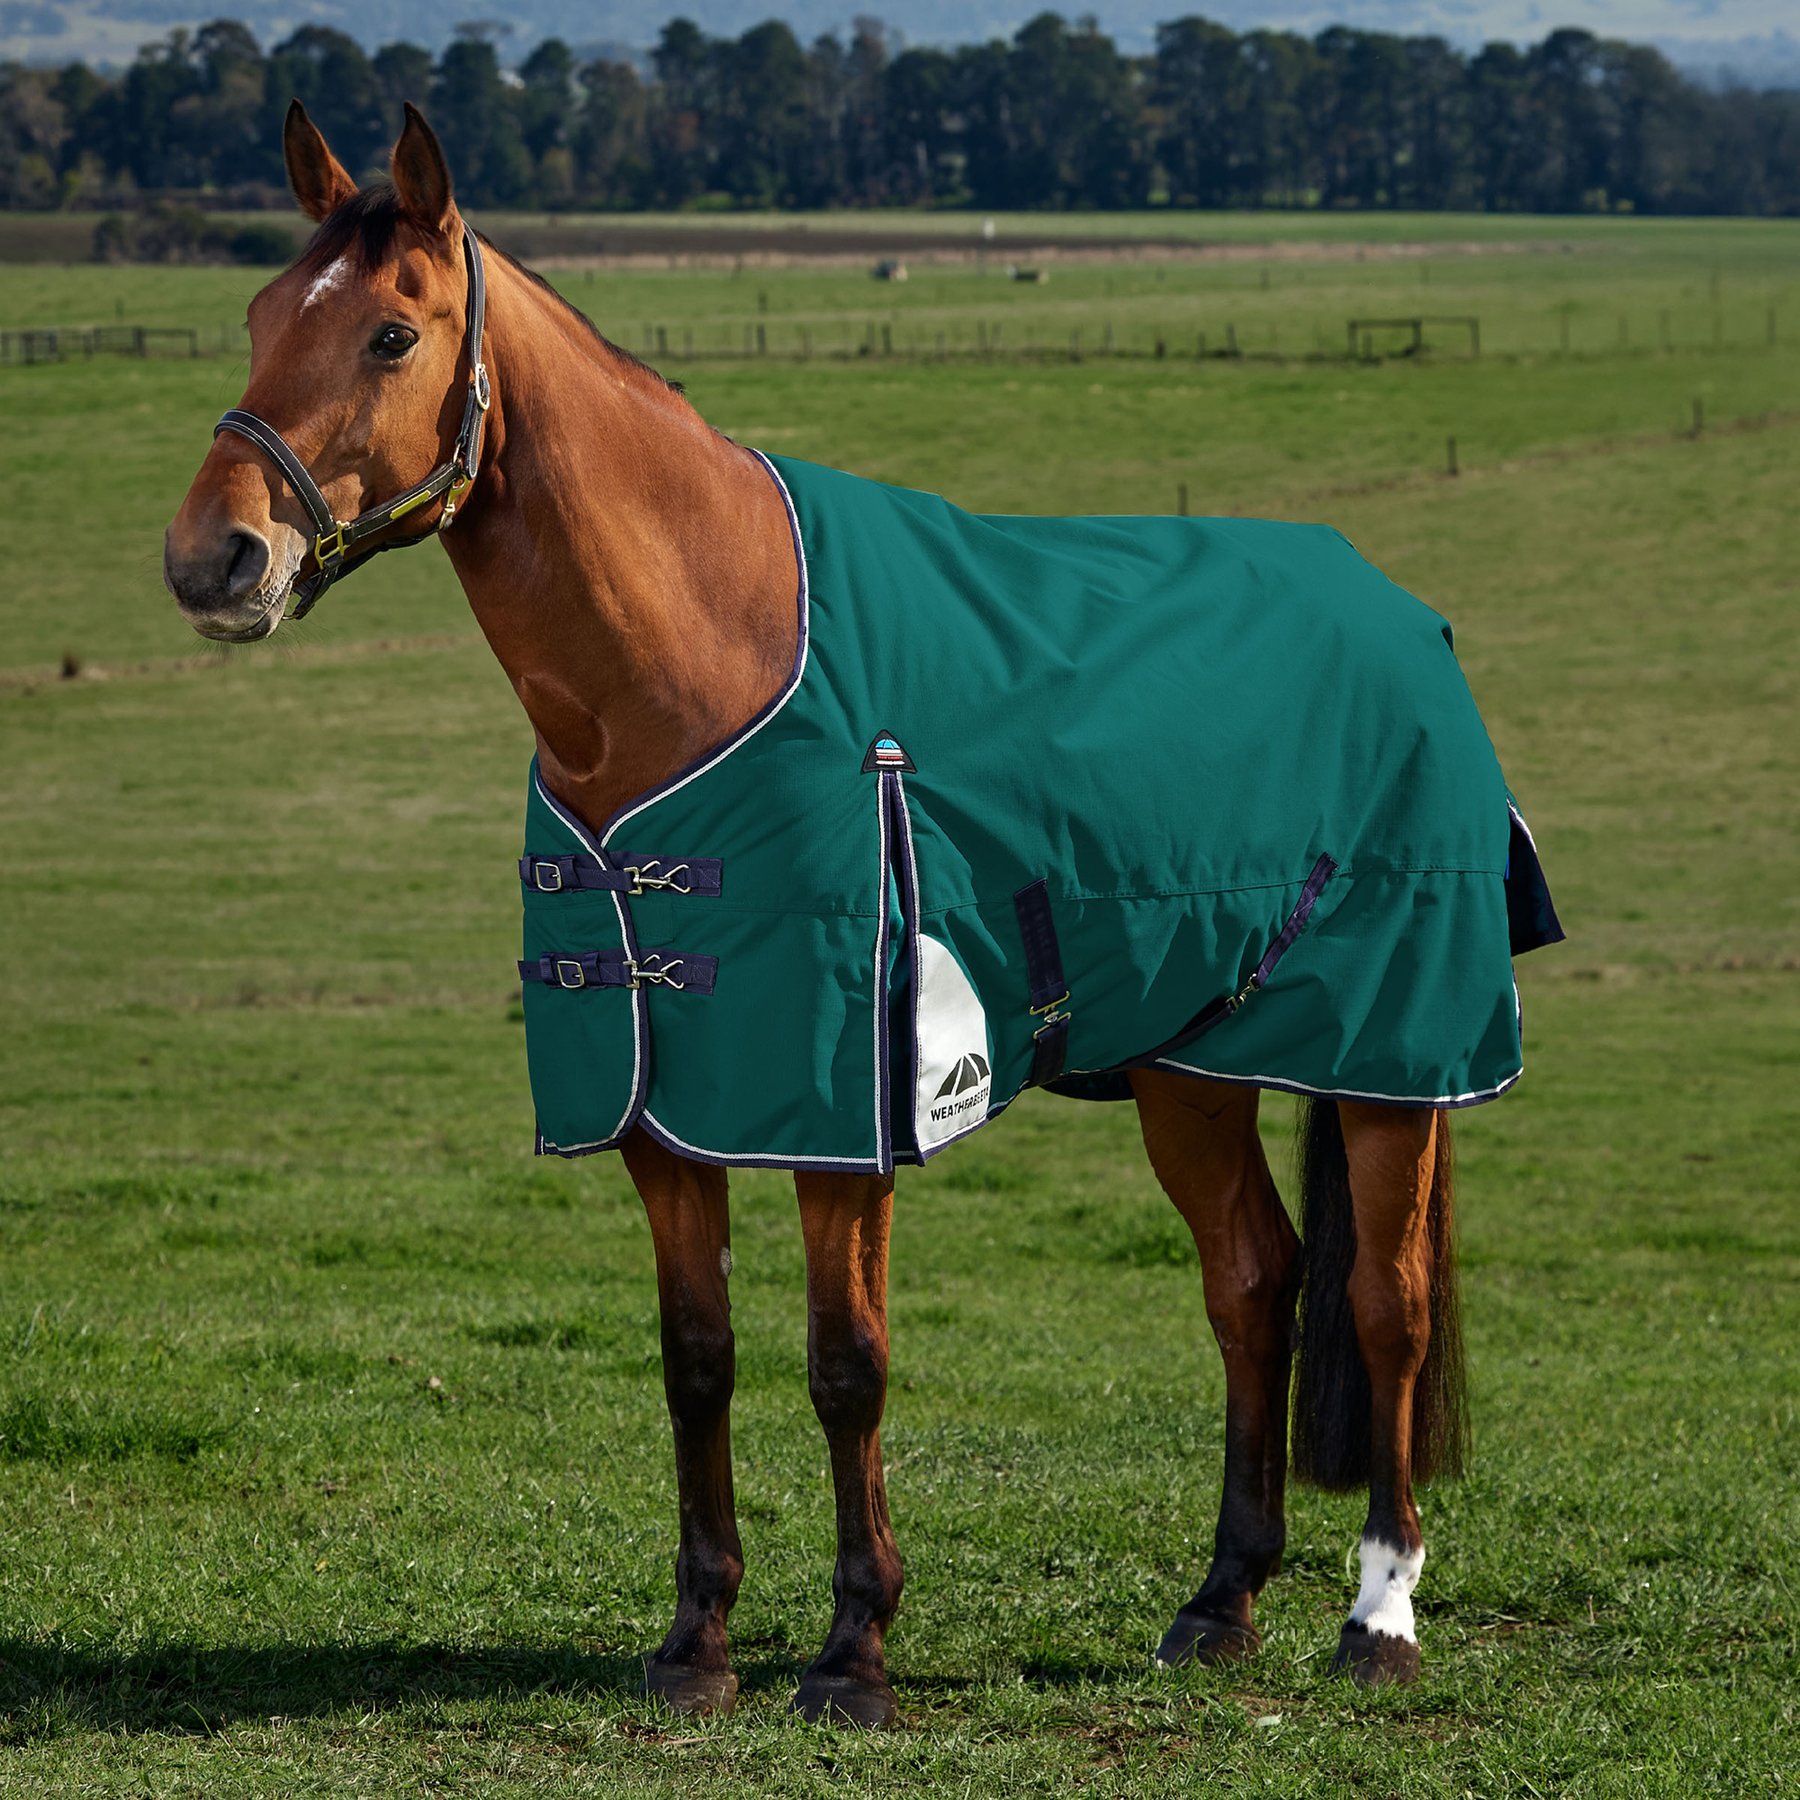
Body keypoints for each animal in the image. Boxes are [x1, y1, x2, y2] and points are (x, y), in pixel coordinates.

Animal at [165, 102, 1555, 1726]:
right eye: (261, 317)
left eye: (390, 334)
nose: (214, 560)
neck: (700, 663)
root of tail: (1404, 615)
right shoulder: (664, 1115)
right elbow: (695, 1358)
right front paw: (697, 1641)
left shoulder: (843, 1116)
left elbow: (848, 1365)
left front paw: (853, 1650)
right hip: (1192, 1063)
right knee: (1253, 1282)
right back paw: (1221, 1600)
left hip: (1392, 1056)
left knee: (1385, 1304)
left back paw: (1380, 1613)